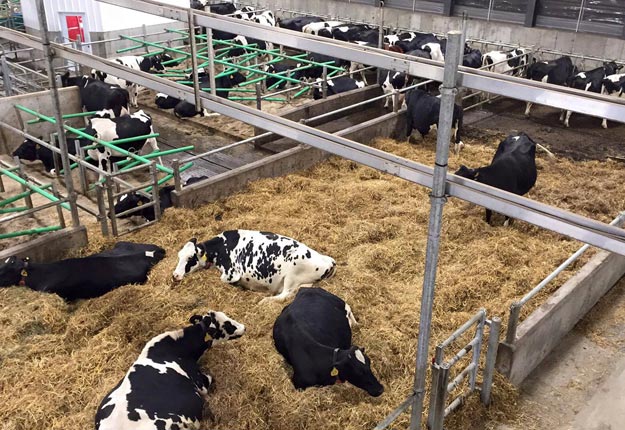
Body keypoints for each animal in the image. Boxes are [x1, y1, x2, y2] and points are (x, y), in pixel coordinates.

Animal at [172, 230, 336, 304]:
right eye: (179, 256)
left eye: (190, 258)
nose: (175, 275)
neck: (222, 247)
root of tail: (328, 261)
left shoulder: (231, 273)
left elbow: (223, 280)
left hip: (291, 274)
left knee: (286, 294)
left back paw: (265, 300)